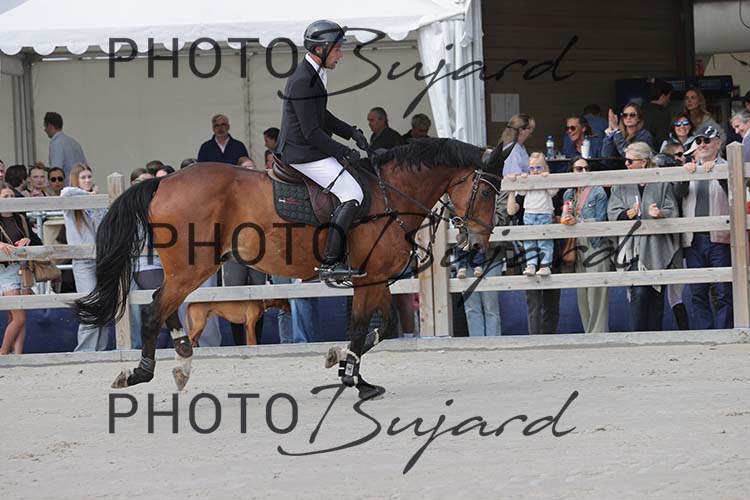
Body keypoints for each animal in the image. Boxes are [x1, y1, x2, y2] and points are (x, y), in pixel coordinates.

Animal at [74, 138, 507, 399]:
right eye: (487, 191)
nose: (477, 243)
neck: (389, 196)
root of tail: (162, 183)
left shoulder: (377, 279)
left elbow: (385, 328)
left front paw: (340, 361)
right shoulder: (367, 281)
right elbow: (360, 328)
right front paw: (354, 380)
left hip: (187, 270)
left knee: (164, 307)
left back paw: (181, 361)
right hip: (190, 268)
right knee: (154, 309)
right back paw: (142, 372)